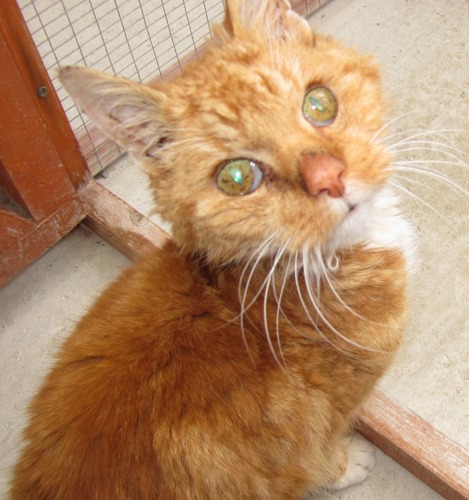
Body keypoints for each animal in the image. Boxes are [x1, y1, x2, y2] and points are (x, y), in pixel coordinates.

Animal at [11, 1, 414, 498]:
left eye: (319, 103)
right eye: (237, 178)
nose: (329, 178)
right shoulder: (316, 427)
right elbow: (317, 458)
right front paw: (346, 463)